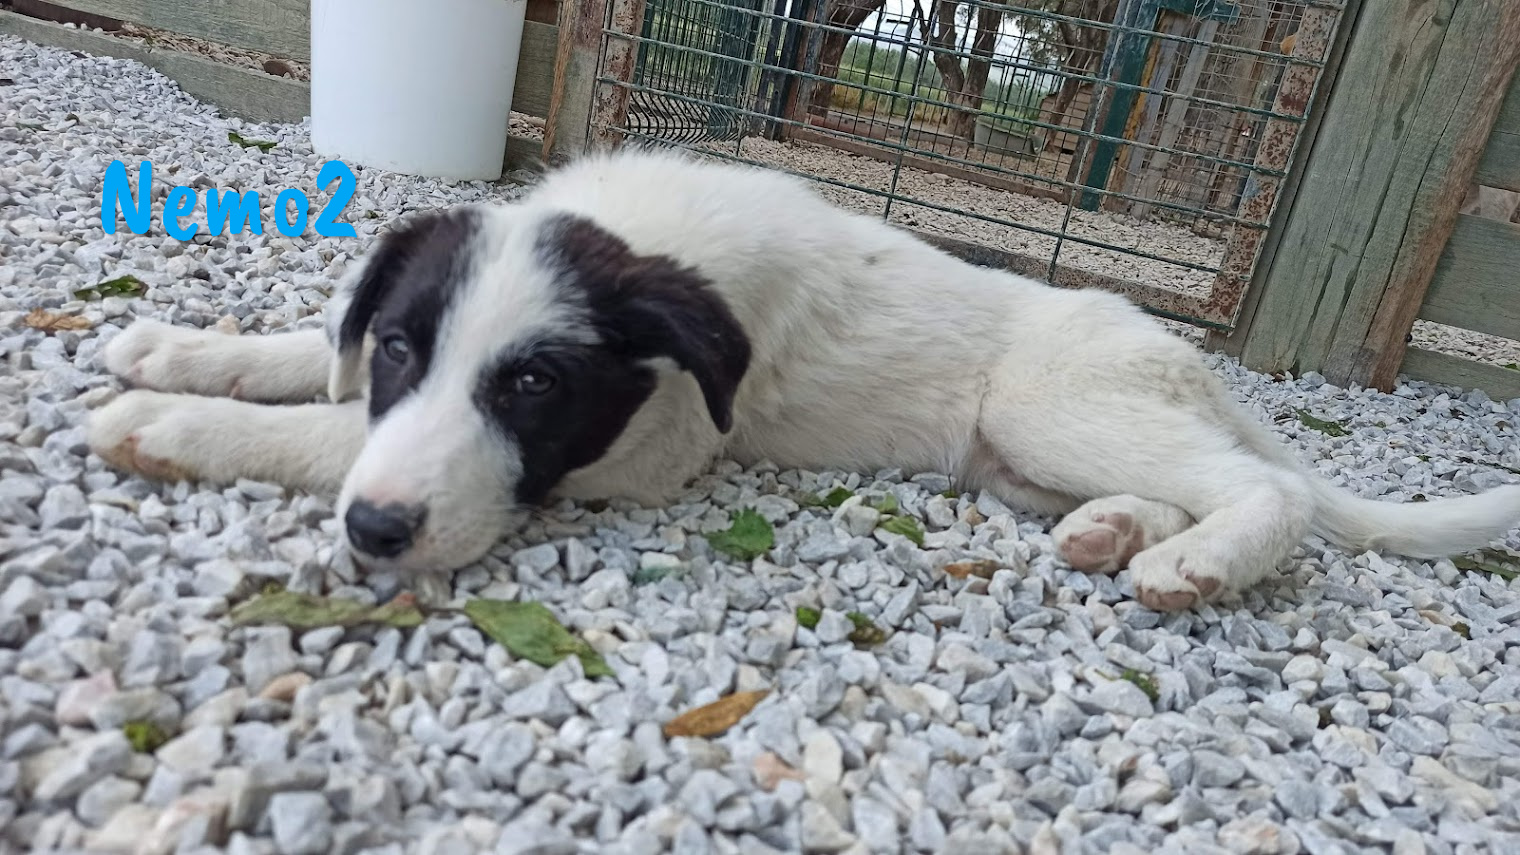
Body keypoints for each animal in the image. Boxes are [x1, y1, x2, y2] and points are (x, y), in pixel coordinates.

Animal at [87, 147, 1520, 611]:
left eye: (538, 389)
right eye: (401, 348)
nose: (383, 536)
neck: (634, 236)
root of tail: (1190, 360)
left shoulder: (651, 449)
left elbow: (345, 445)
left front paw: (173, 421)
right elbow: (328, 368)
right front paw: (191, 350)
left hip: (1045, 399)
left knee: (1263, 492)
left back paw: (1193, 562)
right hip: (1022, 456)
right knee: (1169, 485)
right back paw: (1114, 533)